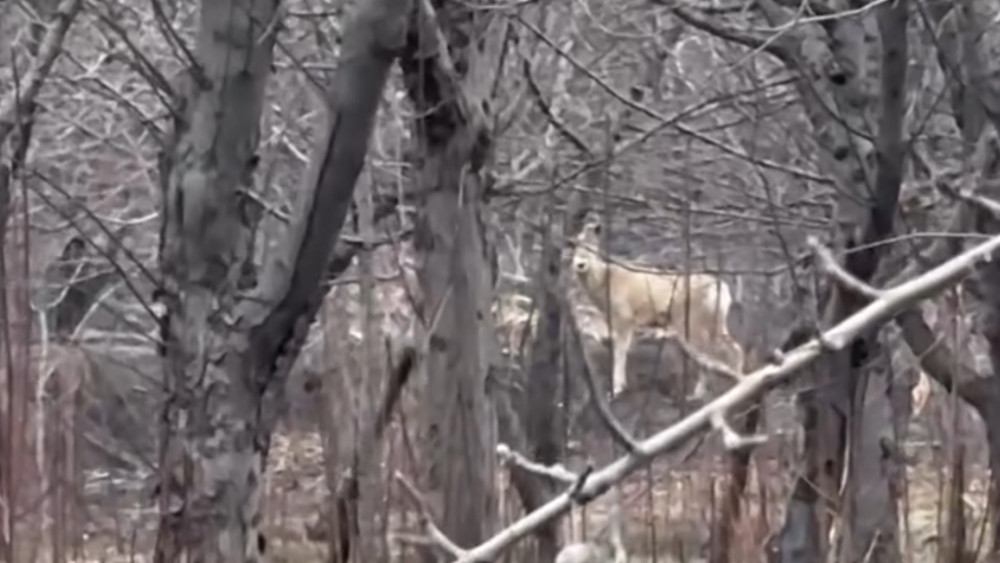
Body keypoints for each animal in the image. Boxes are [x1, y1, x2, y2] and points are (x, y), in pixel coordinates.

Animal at [570, 220, 745, 399]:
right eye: (574, 246)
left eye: (593, 247)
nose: (580, 264)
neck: (604, 283)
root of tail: (723, 290)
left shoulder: (624, 317)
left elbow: (620, 352)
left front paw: (617, 389)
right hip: (711, 323)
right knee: (717, 353)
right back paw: (697, 395)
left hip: (694, 323)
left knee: (724, 351)